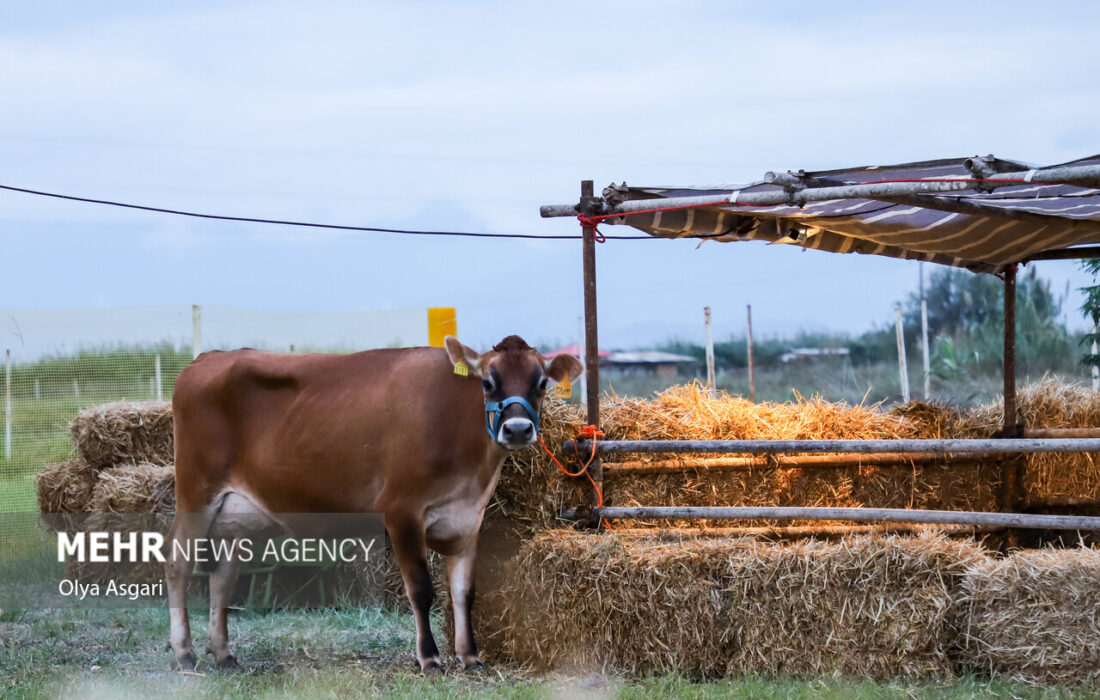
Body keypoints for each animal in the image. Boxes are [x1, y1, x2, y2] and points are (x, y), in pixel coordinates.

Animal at [166, 334, 580, 673]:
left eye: (541, 383)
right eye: (488, 383)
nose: (518, 429)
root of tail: (208, 358)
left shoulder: (468, 518)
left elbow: (464, 592)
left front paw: (470, 657)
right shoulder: (401, 510)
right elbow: (422, 590)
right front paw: (430, 658)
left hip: (235, 516)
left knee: (223, 575)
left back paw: (223, 653)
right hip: (196, 493)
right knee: (178, 565)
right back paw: (184, 652)